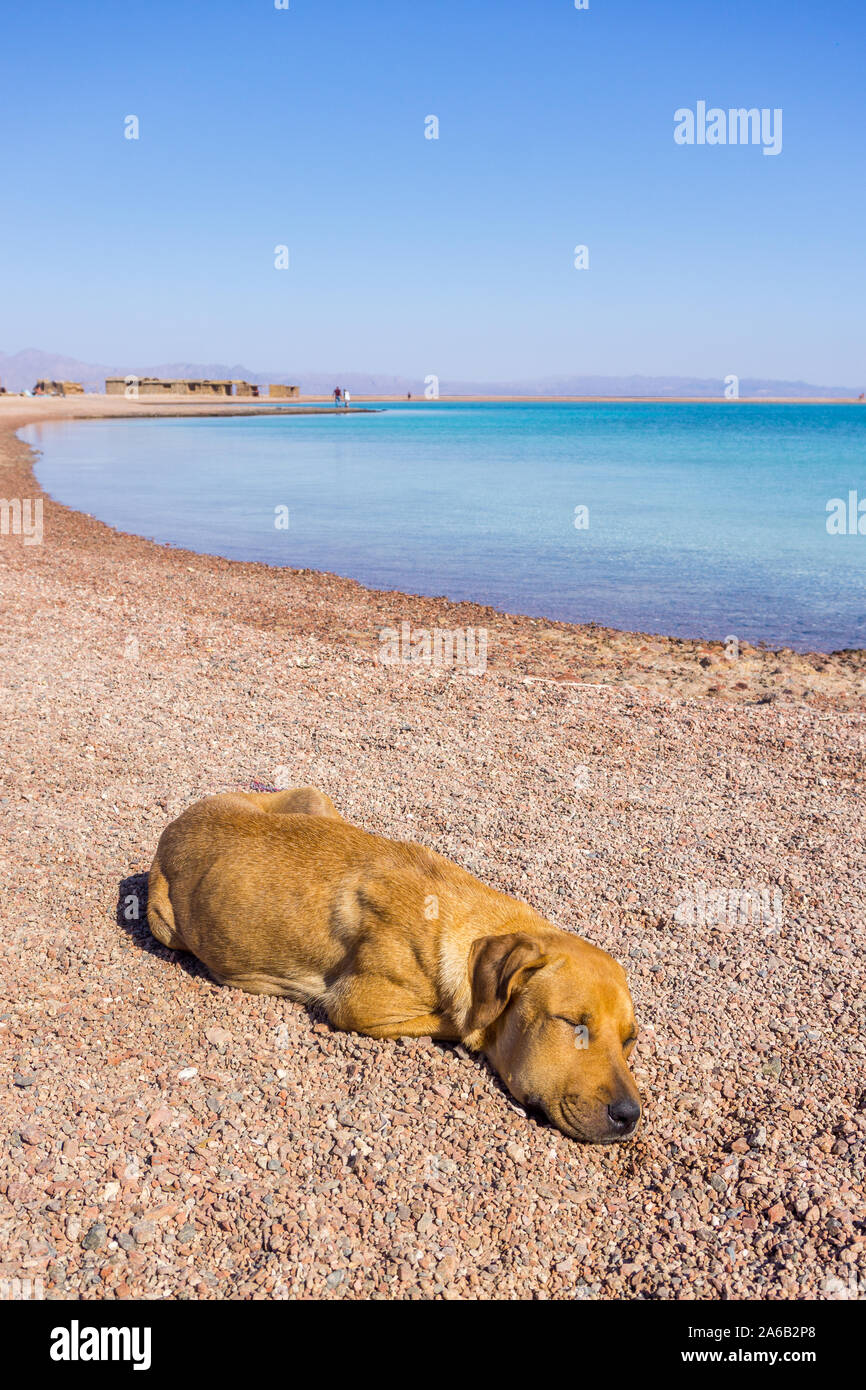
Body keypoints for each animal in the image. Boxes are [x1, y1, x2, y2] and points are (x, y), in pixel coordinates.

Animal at [147, 789, 644, 1145]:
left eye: (629, 1040)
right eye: (572, 1023)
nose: (630, 1116)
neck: (468, 919)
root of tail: (176, 822)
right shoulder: (359, 1008)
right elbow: (457, 1022)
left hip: (314, 800)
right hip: (163, 924)